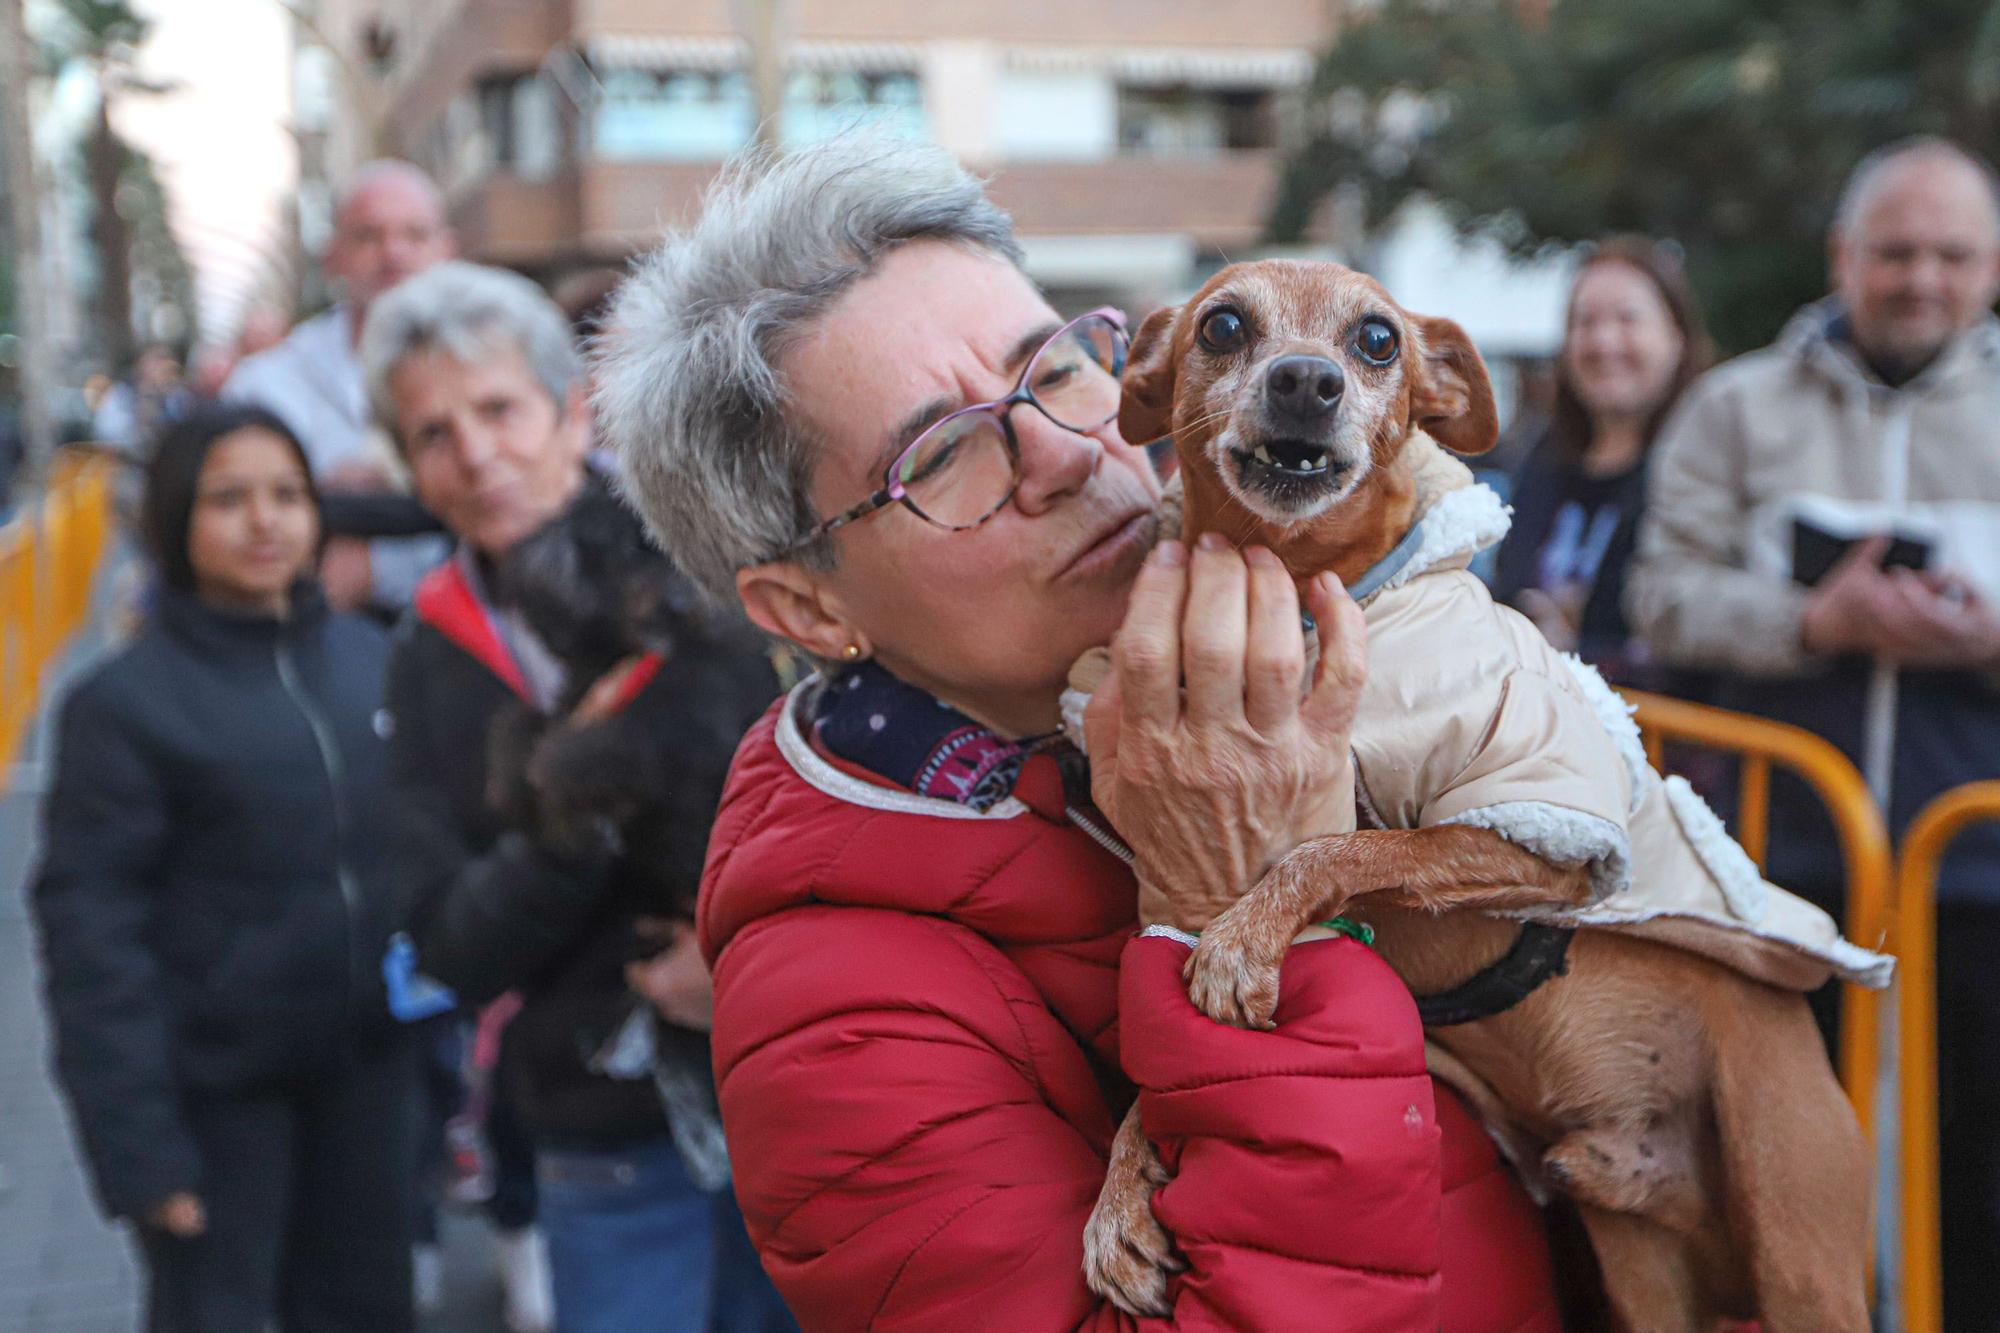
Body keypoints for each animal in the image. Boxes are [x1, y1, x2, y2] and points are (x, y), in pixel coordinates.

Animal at [1080, 254, 1872, 1320]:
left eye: (1377, 339)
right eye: (1223, 326)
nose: (1306, 380)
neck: (1302, 595)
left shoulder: (1541, 839)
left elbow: (1344, 845)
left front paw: (1245, 937)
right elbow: (1162, 1051)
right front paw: (1122, 1191)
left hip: (1799, 1254)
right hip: (1641, 1262)